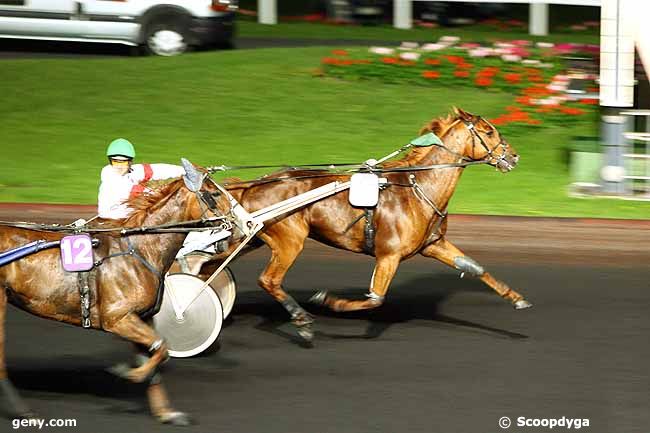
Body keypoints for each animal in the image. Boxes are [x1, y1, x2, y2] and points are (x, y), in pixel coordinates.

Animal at [0, 160, 223, 424]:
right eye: (216, 194)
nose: (238, 219)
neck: (139, 249)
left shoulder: (142, 317)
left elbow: (157, 352)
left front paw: (167, 413)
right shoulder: (118, 319)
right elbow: (162, 347)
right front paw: (129, 373)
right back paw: (23, 410)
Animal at [205, 108, 528, 340]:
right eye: (489, 131)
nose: (514, 156)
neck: (418, 187)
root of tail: (255, 184)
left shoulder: (434, 244)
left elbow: (476, 268)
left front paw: (517, 298)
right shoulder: (389, 255)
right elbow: (375, 299)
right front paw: (328, 301)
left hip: (254, 238)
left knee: (209, 265)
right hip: (289, 240)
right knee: (268, 280)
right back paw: (302, 320)